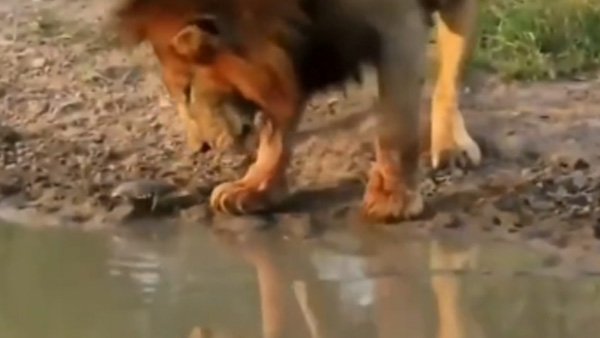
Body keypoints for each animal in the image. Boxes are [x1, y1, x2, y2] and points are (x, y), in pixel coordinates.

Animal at [112, 0, 480, 222]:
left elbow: (395, 127)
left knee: (449, 73)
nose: (198, 148)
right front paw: (255, 190)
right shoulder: (294, 57)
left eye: (187, 90)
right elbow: (275, 136)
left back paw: (450, 146)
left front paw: (392, 199)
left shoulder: (397, 24)